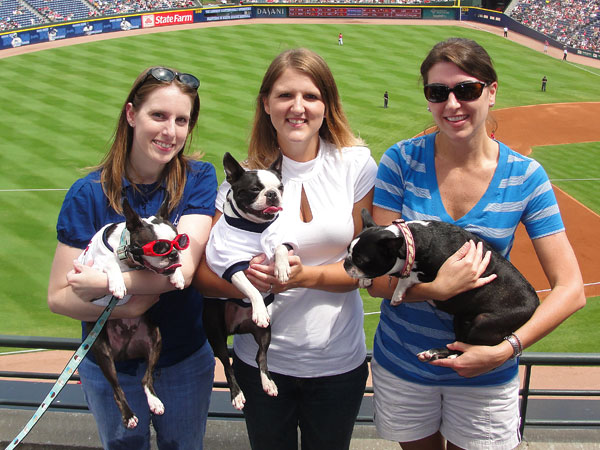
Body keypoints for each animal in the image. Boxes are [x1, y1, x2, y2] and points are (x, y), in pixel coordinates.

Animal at [77, 197, 186, 428]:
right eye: (160, 247)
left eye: (178, 241)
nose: (174, 254)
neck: (126, 254)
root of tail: (125, 352)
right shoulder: (91, 268)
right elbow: (109, 263)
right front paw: (118, 283)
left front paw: (178, 275)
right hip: (102, 350)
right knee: (117, 389)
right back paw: (129, 416)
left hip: (155, 338)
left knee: (146, 379)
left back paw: (154, 402)